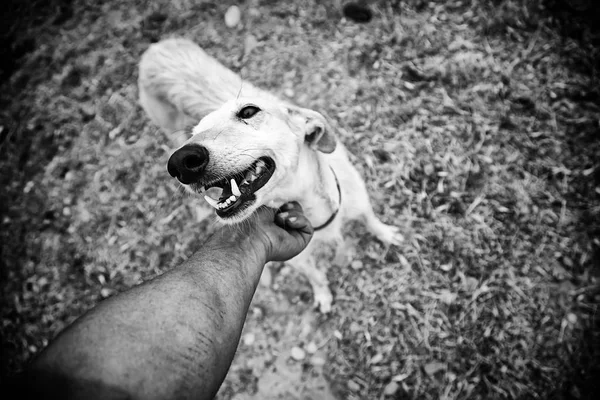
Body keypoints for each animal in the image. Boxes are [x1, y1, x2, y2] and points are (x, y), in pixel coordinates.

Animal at [139, 38, 404, 312]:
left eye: (248, 111)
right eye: (195, 132)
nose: (180, 162)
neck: (310, 204)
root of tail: (157, 47)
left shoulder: (358, 200)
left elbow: (371, 219)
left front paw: (386, 234)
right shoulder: (298, 256)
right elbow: (315, 276)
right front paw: (322, 294)